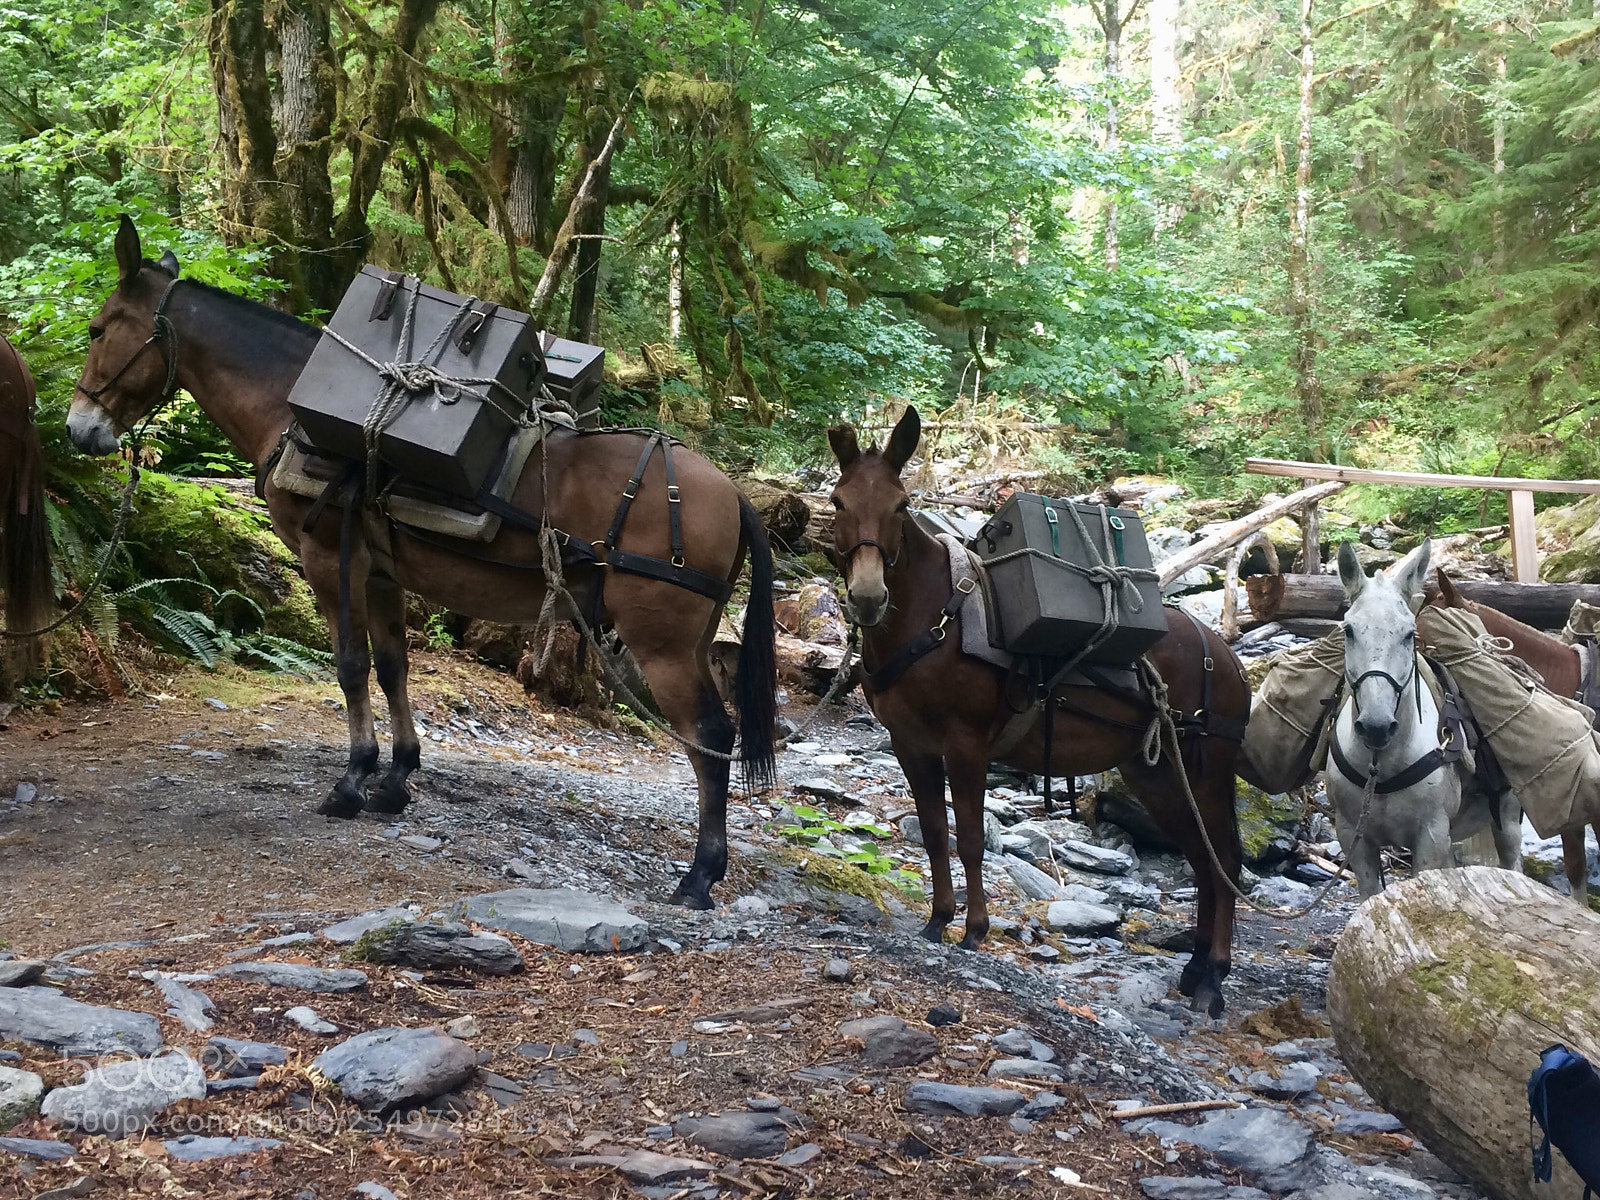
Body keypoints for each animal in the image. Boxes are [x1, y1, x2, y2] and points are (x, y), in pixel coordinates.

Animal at [65, 215, 775, 910]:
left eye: (98, 328)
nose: (78, 428)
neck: (290, 413)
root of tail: (733, 492)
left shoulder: (332, 562)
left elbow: (351, 667)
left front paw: (353, 780)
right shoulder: (382, 572)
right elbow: (391, 667)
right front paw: (396, 777)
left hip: (661, 645)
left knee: (711, 737)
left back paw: (701, 875)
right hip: (691, 643)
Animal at [827, 408, 1251, 1017]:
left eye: (902, 504)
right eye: (837, 500)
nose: (867, 598)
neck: (933, 622)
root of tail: (1226, 654)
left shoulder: (966, 746)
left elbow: (971, 838)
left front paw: (974, 930)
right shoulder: (911, 747)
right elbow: (933, 834)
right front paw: (937, 922)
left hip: (1209, 773)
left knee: (1226, 863)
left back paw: (1215, 977)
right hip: (1159, 776)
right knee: (1202, 860)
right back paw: (1195, 972)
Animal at [1326, 540, 1522, 897]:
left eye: (1409, 634)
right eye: (1348, 631)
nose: (1376, 727)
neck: (1383, 766)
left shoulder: (1430, 837)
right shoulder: (1353, 839)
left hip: (1507, 818)